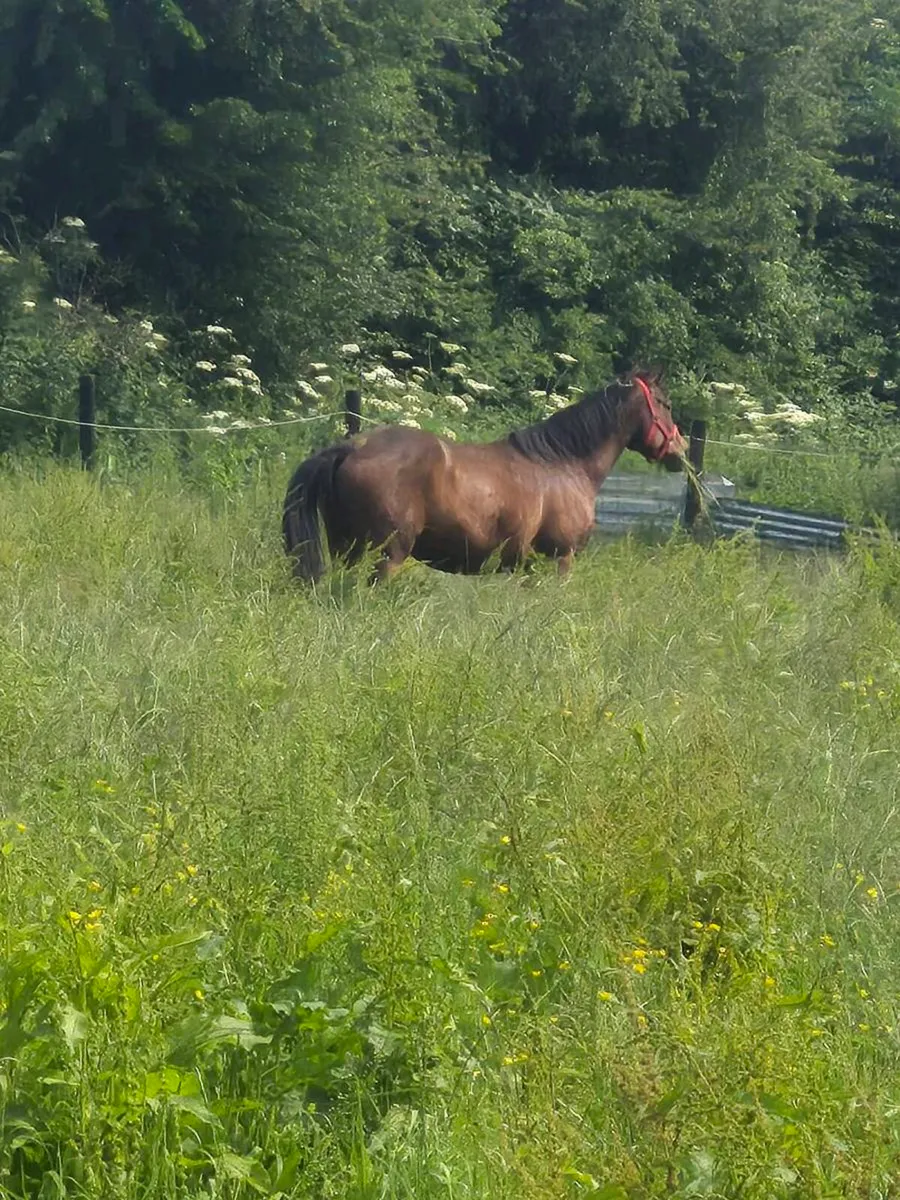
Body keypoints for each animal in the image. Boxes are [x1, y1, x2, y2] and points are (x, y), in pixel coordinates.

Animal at [283, 369, 685, 583]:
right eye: (665, 404)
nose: (679, 451)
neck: (563, 464)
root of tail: (353, 447)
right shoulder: (559, 560)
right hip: (386, 554)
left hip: (345, 547)